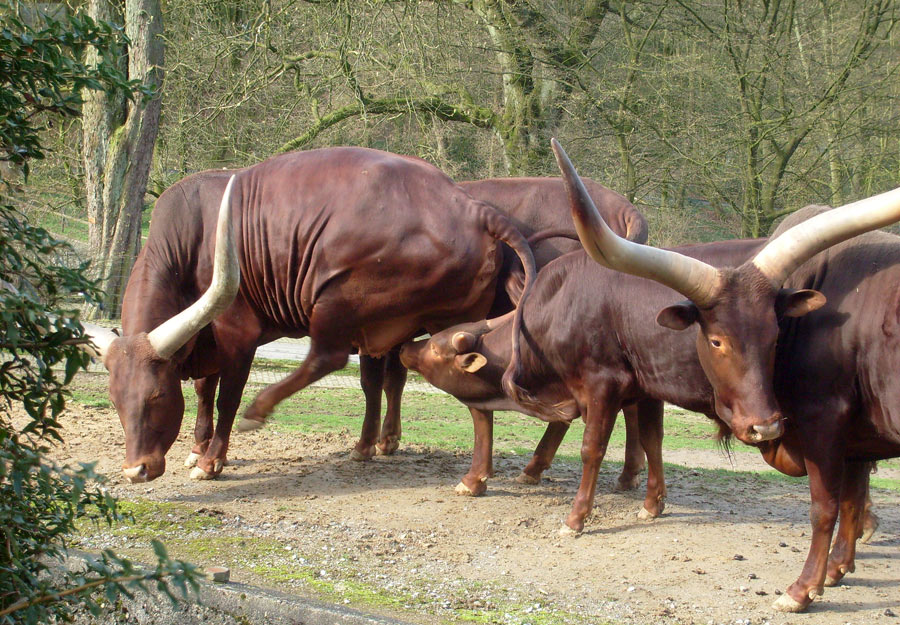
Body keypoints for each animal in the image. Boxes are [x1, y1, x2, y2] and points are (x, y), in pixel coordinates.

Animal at [79, 146, 536, 482]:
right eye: (115, 399)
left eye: (156, 396)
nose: (136, 470)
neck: (191, 242)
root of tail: (472, 206)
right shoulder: (201, 337)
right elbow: (205, 392)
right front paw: (196, 448)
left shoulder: (236, 331)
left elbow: (227, 396)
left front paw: (212, 459)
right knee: (390, 379)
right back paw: (374, 445)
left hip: (341, 300)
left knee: (328, 358)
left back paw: (261, 410)